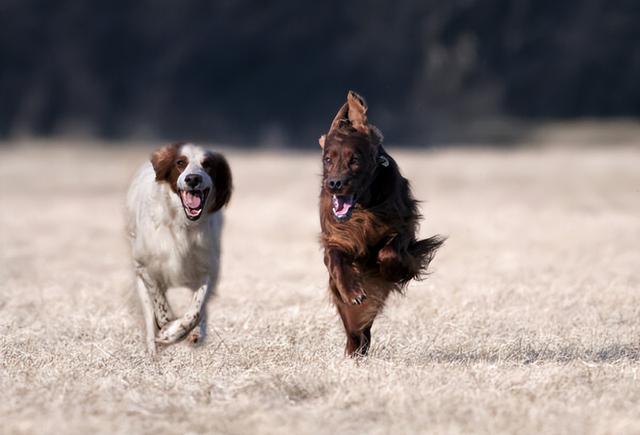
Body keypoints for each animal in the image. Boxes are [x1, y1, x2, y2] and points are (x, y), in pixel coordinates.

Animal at [125, 143, 232, 358]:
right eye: (180, 163)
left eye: (207, 164)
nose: (193, 179)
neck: (182, 224)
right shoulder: (144, 267)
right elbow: (160, 306)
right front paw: (167, 330)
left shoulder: (207, 269)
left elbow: (196, 310)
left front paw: (179, 331)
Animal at [318, 90, 442, 356]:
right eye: (328, 159)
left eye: (355, 160)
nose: (334, 183)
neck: (364, 206)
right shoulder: (337, 235)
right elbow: (335, 259)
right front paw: (352, 292)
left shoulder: (403, 227)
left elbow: (389, 252)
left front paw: (390, 270)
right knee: (356, 330)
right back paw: (354, 348)